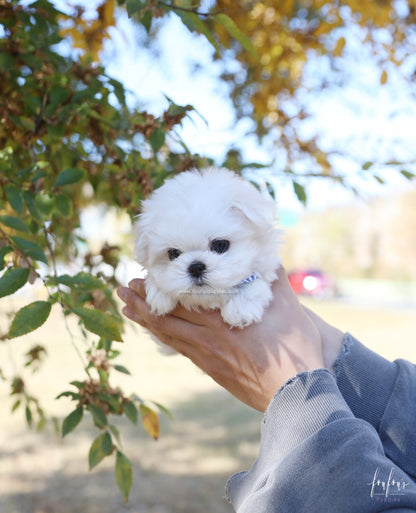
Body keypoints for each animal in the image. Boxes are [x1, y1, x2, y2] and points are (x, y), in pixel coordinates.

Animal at [135, 168, 282, 328]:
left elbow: (255, 280)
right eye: (173, 253)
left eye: (220, 245)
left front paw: (241, 307)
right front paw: (160, 292)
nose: (196, 267)